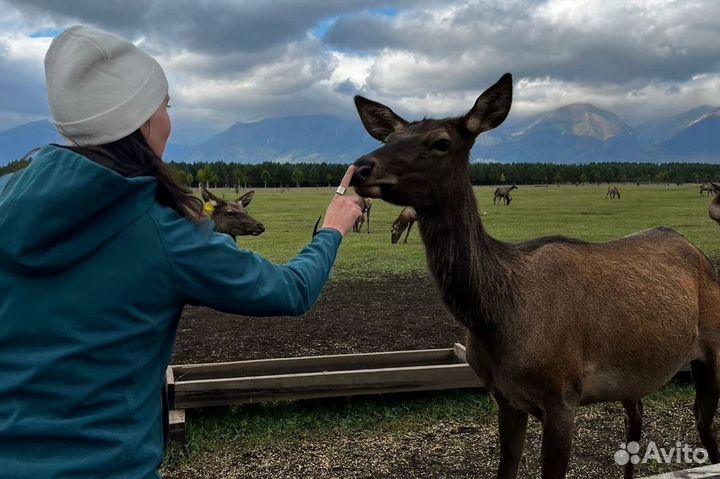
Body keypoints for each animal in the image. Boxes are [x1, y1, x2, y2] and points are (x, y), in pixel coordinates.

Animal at [348, 72, 720, 479]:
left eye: (440, 142)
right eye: (387, 139)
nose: (361, 168)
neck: (496, 319)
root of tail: (700, 254)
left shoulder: (562, 396)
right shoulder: (505, 398)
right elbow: (506, 467)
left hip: (713, 348)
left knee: (703, 422)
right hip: (633, 377)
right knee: (636, 423)